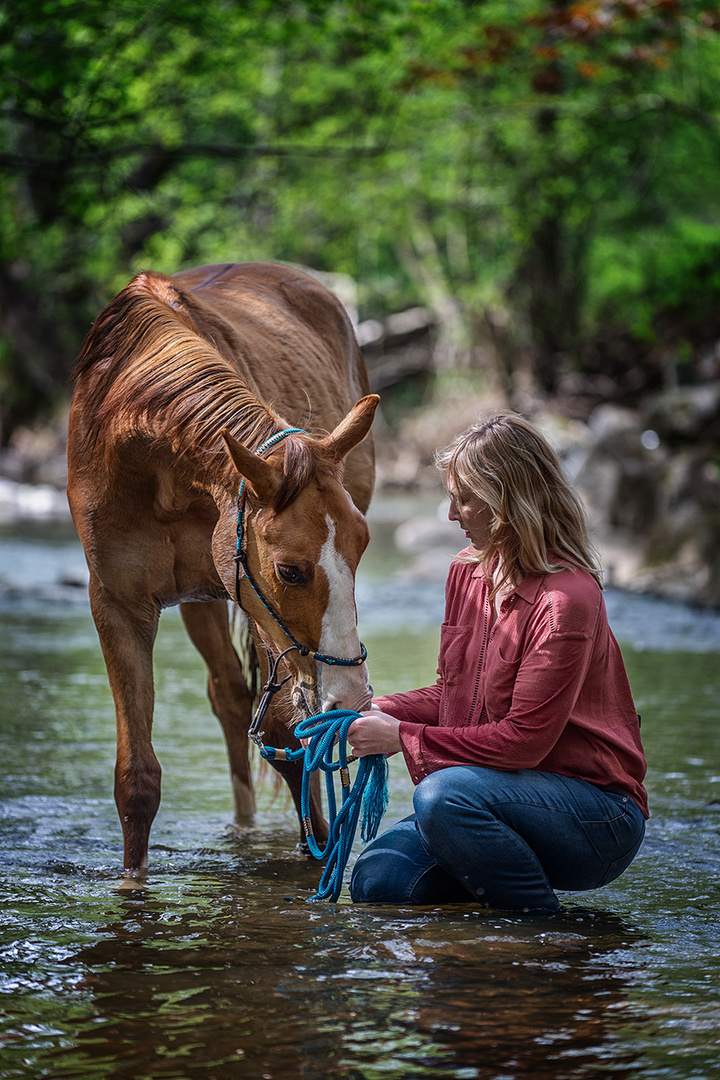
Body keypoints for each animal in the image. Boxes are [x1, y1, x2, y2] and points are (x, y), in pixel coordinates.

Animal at [66, 261, 379, 876]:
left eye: (361, 548)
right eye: (290, 571)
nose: (352, 697)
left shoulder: (248, 601)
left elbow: (288, 737)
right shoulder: (118, 604)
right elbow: (136, 779)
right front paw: (132, 883)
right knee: (230, 697)